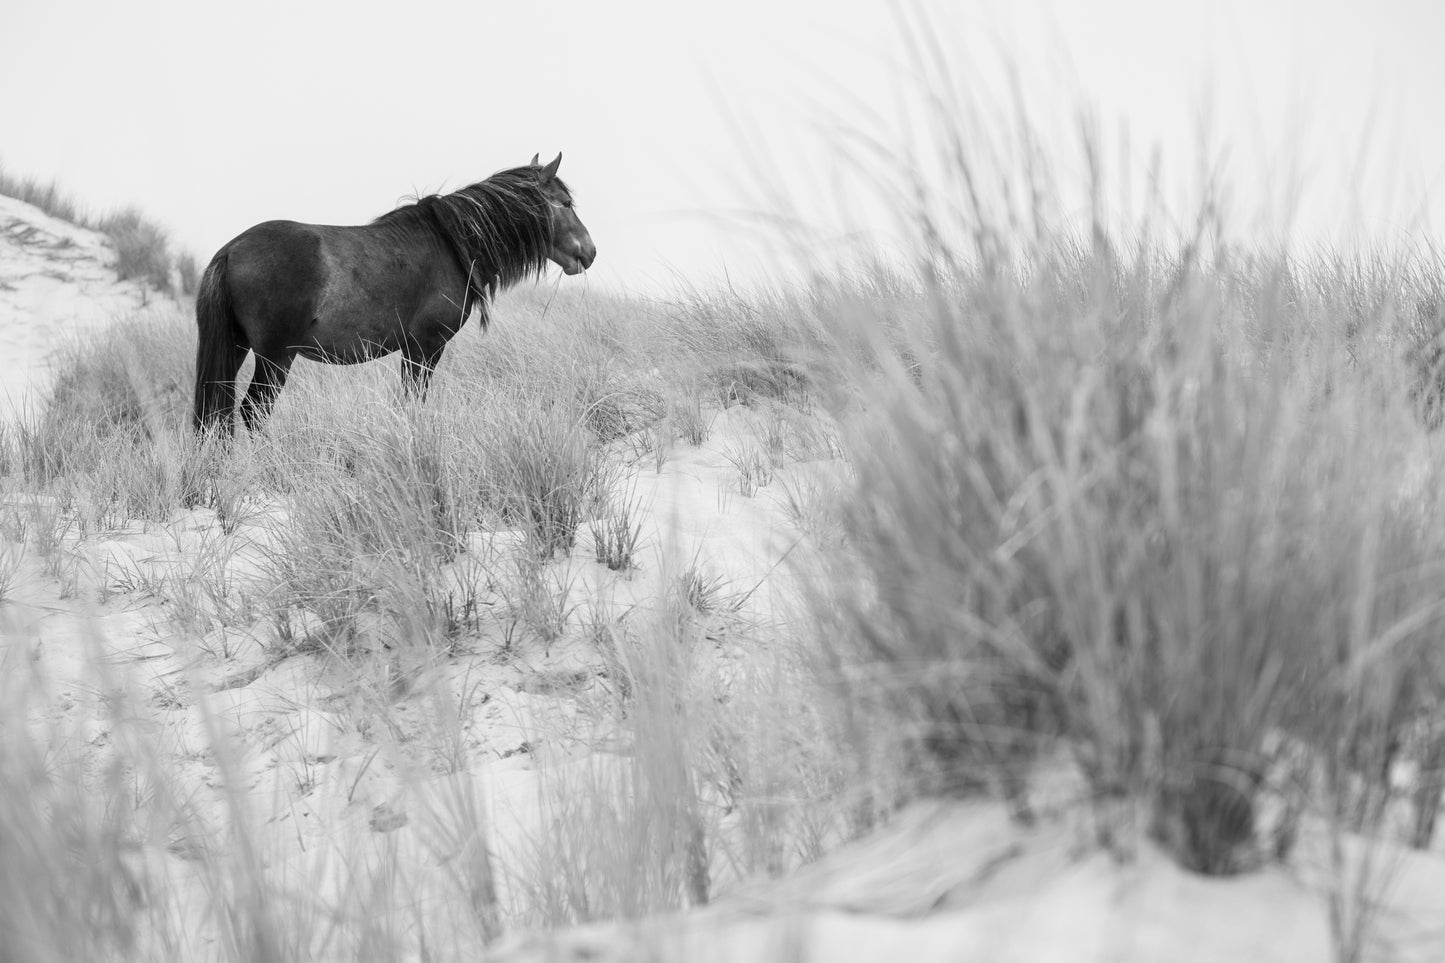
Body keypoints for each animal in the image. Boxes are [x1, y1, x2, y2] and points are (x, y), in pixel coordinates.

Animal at [193, 151, 598, 433]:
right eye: (565, 203)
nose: (590, 252)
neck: (451, 243)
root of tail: (230, 251)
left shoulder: (413, 350)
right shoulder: (426, 348)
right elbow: (414, 404)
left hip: (237, 347)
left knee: (217, 411)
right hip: (276, 356)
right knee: (253, 411)